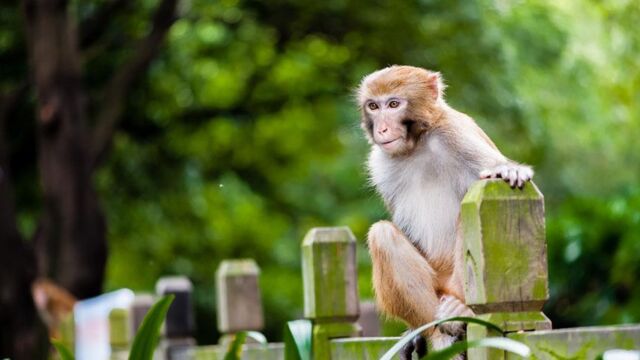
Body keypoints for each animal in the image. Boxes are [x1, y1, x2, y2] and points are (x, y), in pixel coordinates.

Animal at [358, 65, 532, 358]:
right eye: (373, 106)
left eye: (393, 104)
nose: (382, 128)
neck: (420, 142)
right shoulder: (379, 163)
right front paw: (415, 334)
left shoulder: (458, 135)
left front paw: (509, 170)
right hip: (437, 284)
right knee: (383, 234)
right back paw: (437, 334)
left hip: (457, 283)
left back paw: (462, 311)